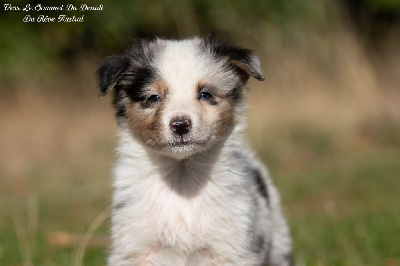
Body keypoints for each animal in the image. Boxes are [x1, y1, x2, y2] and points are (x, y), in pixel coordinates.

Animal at [97, 33, 290, 266]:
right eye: (153, 97)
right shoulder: (136, 248)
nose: (180, 124)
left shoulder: (229, 247)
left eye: (205, 94)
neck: (182, 177)